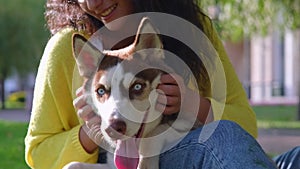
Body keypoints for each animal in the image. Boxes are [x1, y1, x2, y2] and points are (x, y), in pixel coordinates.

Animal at [68, 17, 195, 169]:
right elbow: (71, 164)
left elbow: (154, 136)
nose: (113, 129)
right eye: (101, 90)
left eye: (137, 87)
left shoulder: (189, 120)